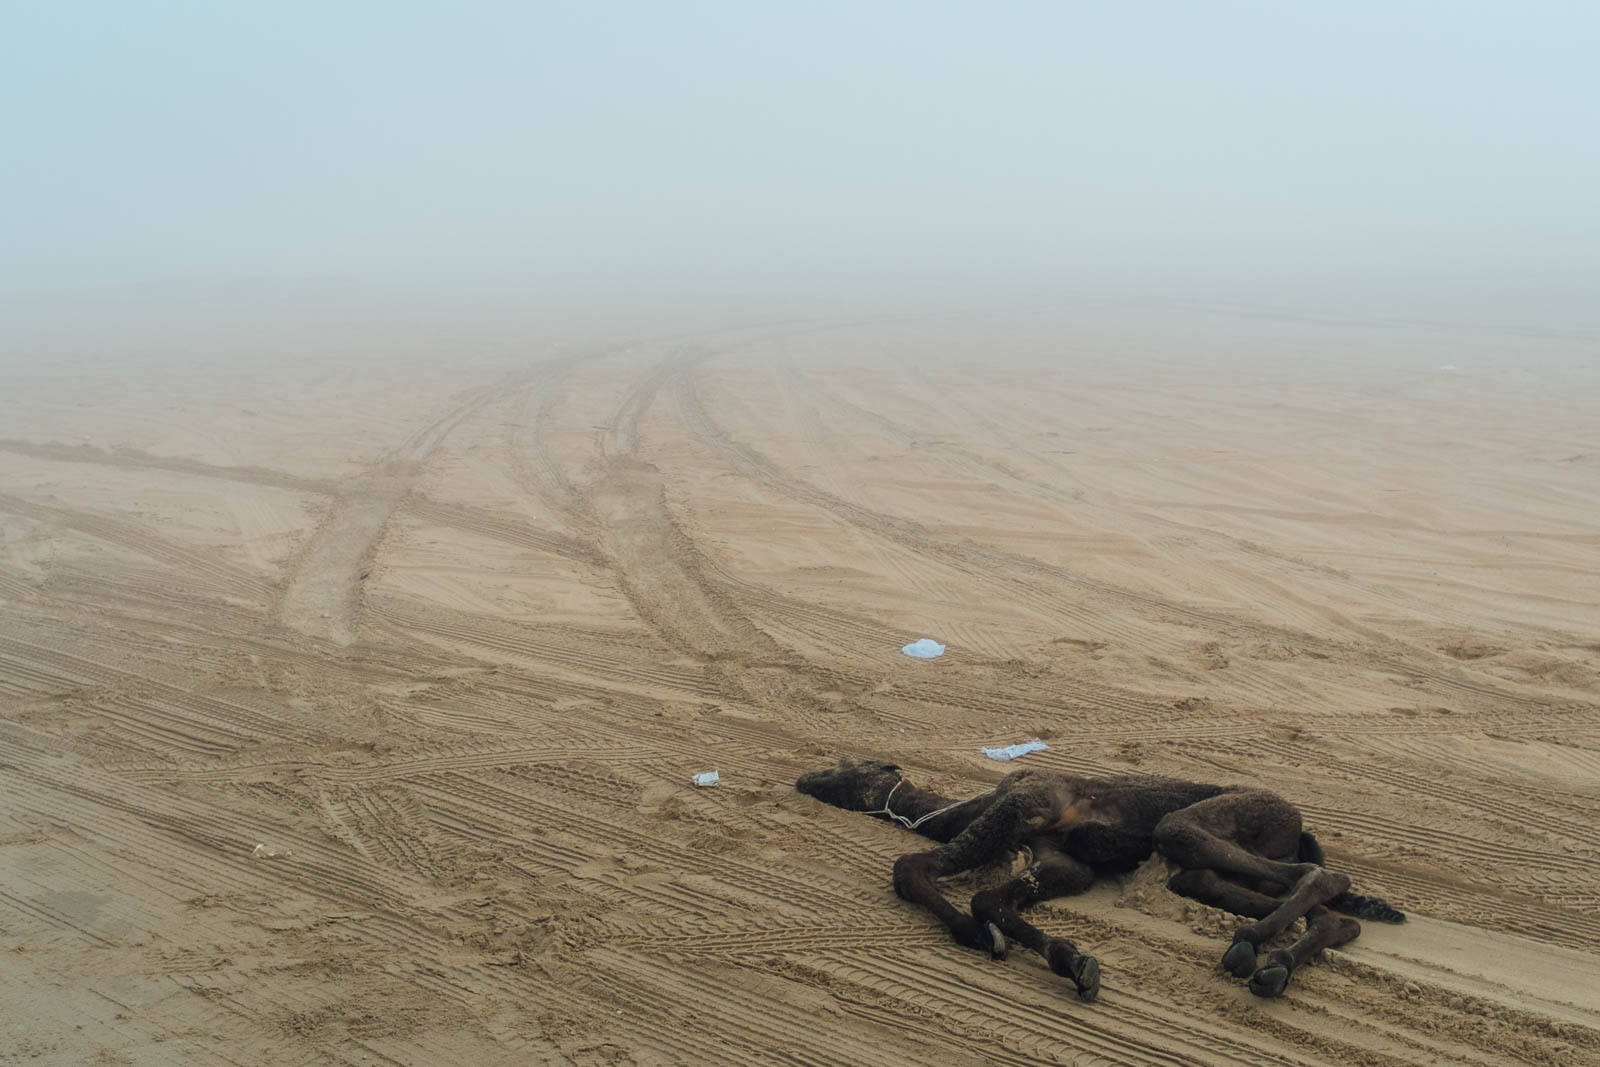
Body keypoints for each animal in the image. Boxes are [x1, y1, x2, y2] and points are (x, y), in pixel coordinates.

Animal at [796, 758, 1404, 1001]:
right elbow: (993, 898)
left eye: (842, 767)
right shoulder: (1063, 860)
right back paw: (1272, 966)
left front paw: (975, 933)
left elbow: (917, 870)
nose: (803, 777)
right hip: (1204, 871)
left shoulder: (1025, 804)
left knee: (1320, 873)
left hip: (1199, 825)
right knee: (1327, 913)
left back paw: (1248, 947)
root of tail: (1301, 823)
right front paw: (1072, 962)